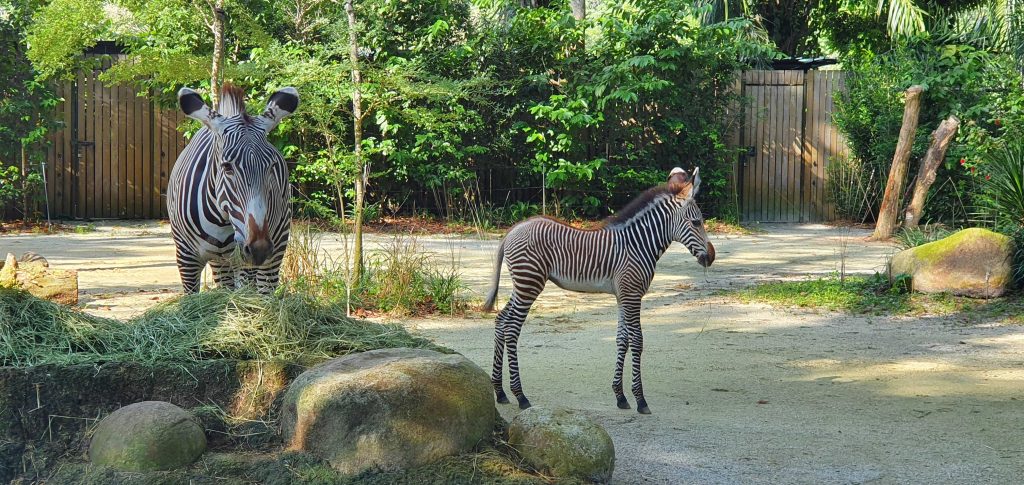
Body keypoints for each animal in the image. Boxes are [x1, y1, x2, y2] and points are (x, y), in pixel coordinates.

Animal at [165, 83, 299, 292]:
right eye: (227, 167)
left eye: (271, 166)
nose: (259, 249)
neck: (221, 220)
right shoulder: (186, 259)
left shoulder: (246, 263)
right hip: (222, 263)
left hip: (274, 249)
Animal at [479, 166, 712, 413]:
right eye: (696, 223)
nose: (711, 256)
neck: (637, 244)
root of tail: (513, 230)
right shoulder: (632, 294)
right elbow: (637, 341)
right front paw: (640, 400)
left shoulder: (623, 295)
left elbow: (622, 340)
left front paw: (620, 396)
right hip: (529, 283)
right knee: (512, 329)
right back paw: (520, 395)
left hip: (522, 284)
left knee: (501, 321)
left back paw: (500, 392)